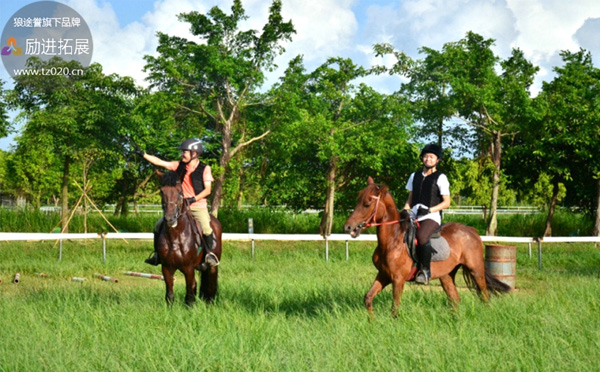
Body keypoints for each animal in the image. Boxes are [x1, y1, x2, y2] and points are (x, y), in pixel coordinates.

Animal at [157, 171, 223, 306]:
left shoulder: (188, 268)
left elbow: (189, 295)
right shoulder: (166, 268)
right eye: (161, 191)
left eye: (179, 192)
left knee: (210, 285)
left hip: (212, 266)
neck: (175, 237)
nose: (170, 219)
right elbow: (170, 295)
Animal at [344, 177, 508, 316]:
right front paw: (371, 322)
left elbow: (395, 308)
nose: (348, 227)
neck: (392, 241)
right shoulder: (384, 275)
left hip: (476, 270)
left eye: (367, 204)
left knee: (485, 295)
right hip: (446, 275)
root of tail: (471, 230)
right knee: (455, 298)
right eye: (358, 201)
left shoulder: (398, 279)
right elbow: (368, 297)